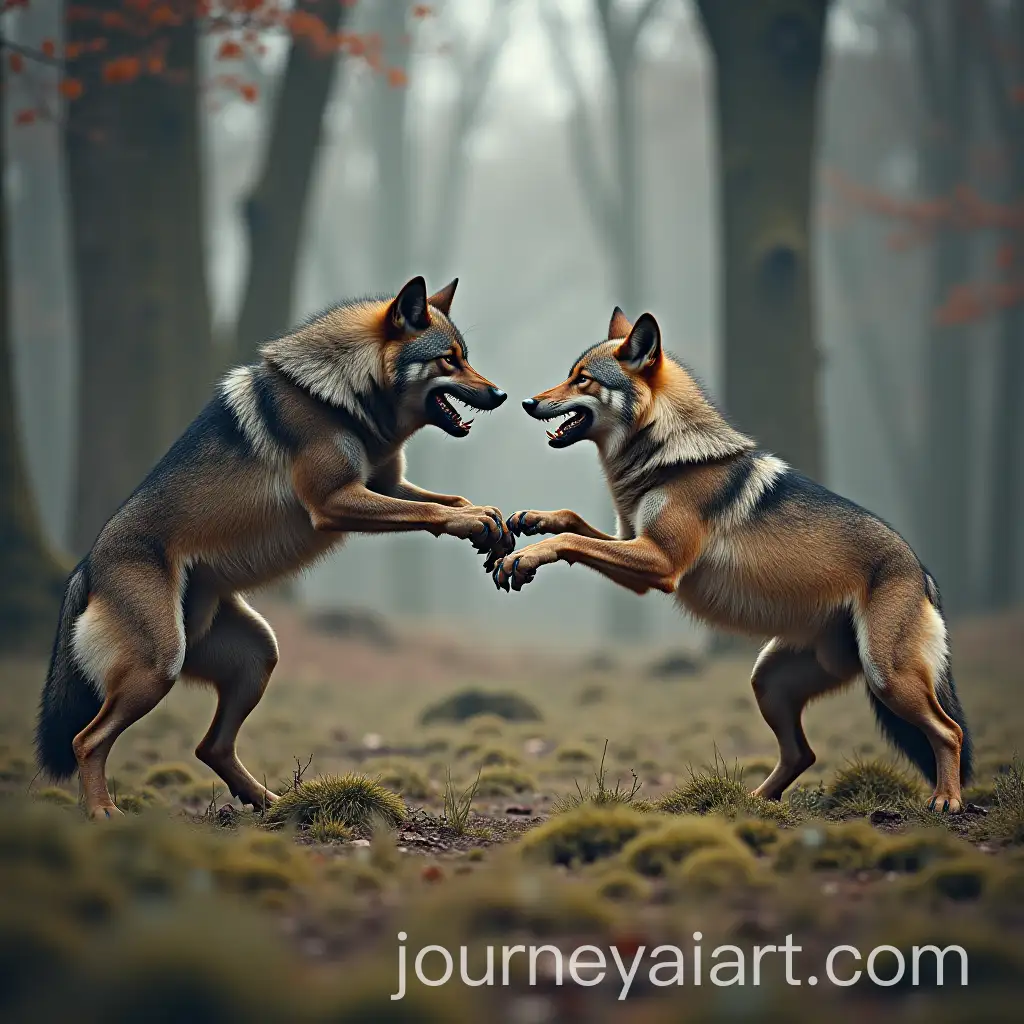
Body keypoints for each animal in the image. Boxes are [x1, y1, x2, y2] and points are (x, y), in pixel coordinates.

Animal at [38, 277, 514, 818]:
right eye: (449, 360)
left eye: (465, 356)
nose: (501, 394)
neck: (342, 397)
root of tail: (84, 565)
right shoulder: (336, 501)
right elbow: (435, 512)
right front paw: (474, 522)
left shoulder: (386, 484)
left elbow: (449, 500)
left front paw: (490, 520)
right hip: (159, 668)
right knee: (85, 740)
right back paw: (102, 813)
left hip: (258, 655)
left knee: (209, 747)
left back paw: (270, 803)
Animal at [491, 306, 972, 812]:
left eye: (582, 379)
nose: (526, 402)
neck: (667, 457)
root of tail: (923, 572)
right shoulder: (635, 551)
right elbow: (571, 521)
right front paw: (531, 520)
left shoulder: (661, 562)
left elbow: (570, 538)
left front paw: (524, 557)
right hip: (768, 681)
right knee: (803, 754)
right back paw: (753, 801)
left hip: (886, 678)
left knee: (949, 732)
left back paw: (946, 801)